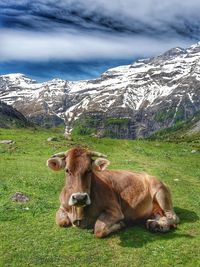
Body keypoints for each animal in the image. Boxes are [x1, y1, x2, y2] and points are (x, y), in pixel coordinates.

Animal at [47, 149, 180, 239]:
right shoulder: (62, 206)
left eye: (89, 170)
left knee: (174, 217)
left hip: (161, 192)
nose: (80, 198)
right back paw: (156, 225)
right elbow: (62, 221)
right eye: (67, 170)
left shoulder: (115, 210)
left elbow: (99, 229)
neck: (79, 213)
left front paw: (120, 224)